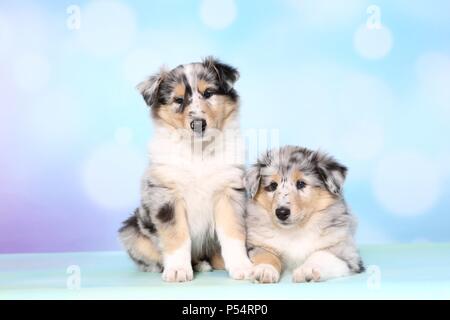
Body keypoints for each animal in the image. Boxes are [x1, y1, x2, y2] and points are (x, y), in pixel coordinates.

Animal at [119, 57, 251, 282]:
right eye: (178, 100)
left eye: (208, 93)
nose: (198, 124)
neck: (198, 152)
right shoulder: (167, 196)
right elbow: (177, 236)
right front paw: (178, 270)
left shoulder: (228, 192)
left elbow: (232, 233)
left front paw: (241, 266)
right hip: (131, 231)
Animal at [244, 146, 364, 284]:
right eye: (273, 186)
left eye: (301, 184)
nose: (281, 212)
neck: (295, 231)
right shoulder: (258, 245)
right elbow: (266, 255)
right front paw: (265, 269)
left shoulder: (346, 251)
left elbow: (320, 254)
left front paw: (307, 270)